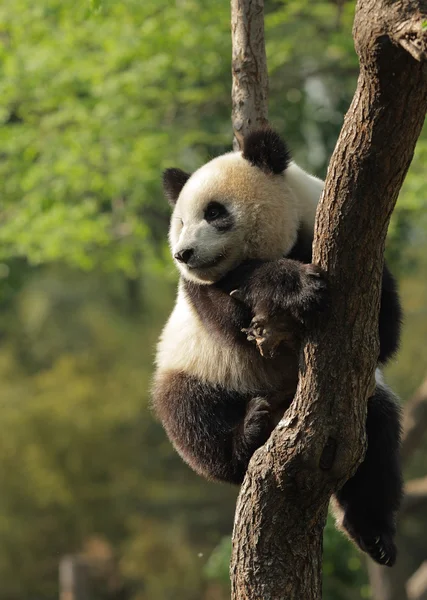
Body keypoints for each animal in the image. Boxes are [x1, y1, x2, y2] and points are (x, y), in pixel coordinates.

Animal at [153, 127, 402, 568]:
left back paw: (373, 535)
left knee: (379, 442)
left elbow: (382, 338)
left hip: (363, 405)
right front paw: (296, 286)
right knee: (192, 418)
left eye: (214, 212)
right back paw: (249, 430)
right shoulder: (201, 296)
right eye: (180, 221)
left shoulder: (363, 261)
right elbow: (235, 313)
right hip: (195, 368)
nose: (184, 253)